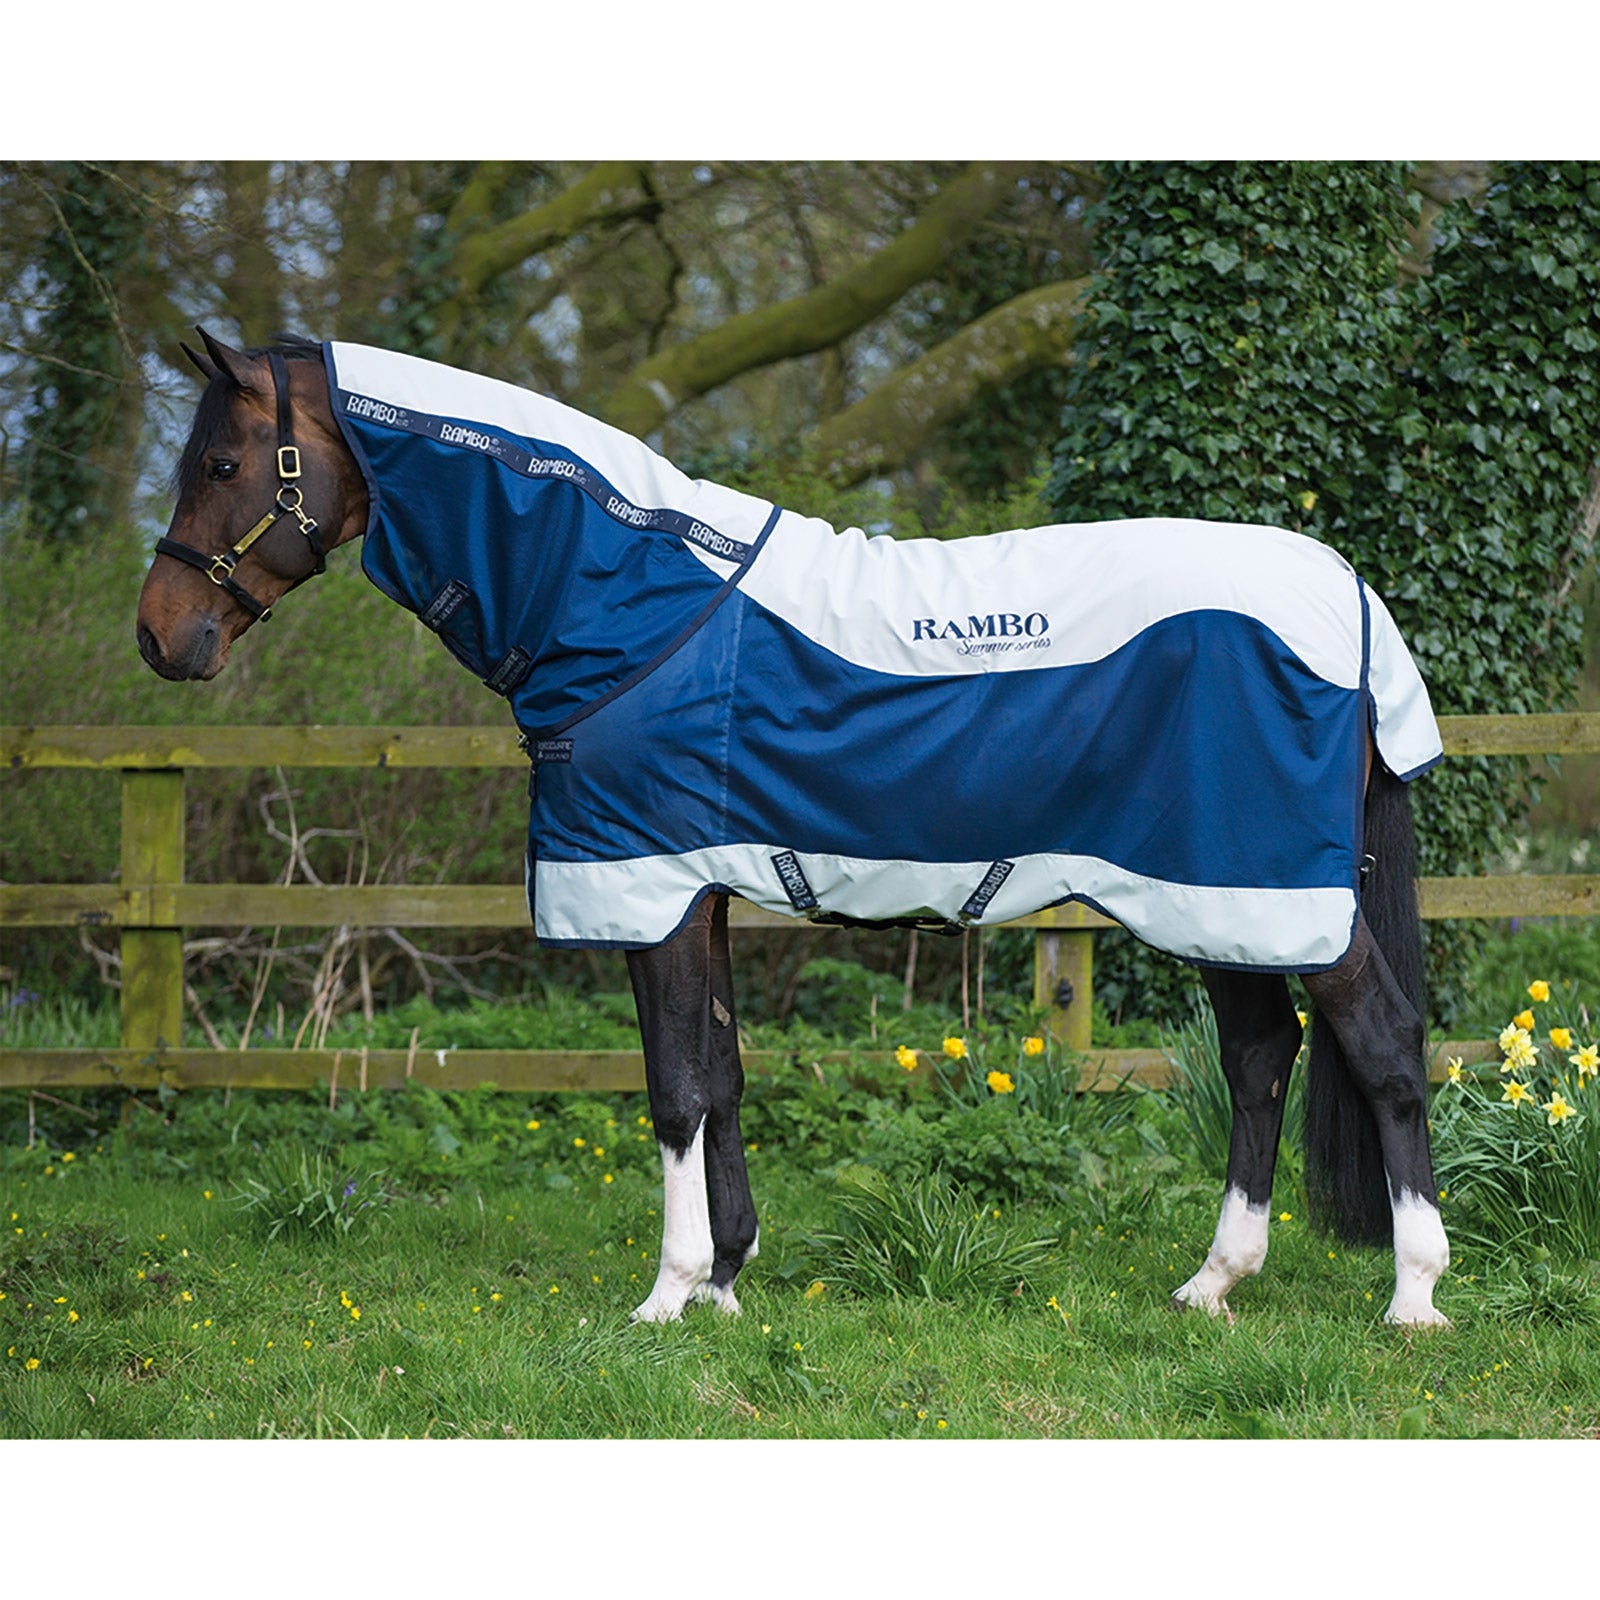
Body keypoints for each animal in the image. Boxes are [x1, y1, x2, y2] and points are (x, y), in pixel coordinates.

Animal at [136, 330, 1451, 1328]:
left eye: (221, 459)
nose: (161, 637)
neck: (634, 606)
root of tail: (1345, 592)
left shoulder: (650, 888)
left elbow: (672, 1087)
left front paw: (665, 1296)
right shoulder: (699, 890)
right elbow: (721, 1073)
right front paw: (725, 1280)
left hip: (1263, 891)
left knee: (1381, 1042)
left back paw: (1412, 1296)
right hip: (1219, 895)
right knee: (1260, 1055)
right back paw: (1213, 1283)